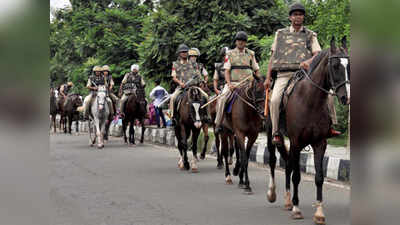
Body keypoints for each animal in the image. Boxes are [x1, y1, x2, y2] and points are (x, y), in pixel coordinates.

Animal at [266, 36, 350, 224]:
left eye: (349, 66)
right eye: (335, 66)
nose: (346, 97)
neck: (310, 101)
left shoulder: (319, 143)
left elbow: (319, 178)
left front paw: (319, 213)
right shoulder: (297, 142)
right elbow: (296, 175)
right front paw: (297, 210)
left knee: (288, 164)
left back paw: (288, 201)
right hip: (272, 133)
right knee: (274, 161)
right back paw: (273, 193)